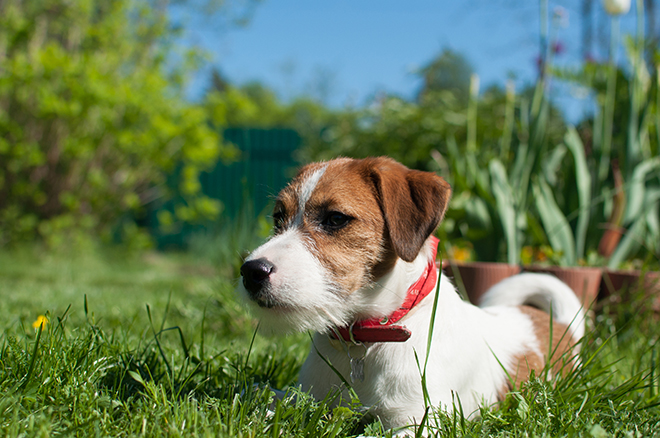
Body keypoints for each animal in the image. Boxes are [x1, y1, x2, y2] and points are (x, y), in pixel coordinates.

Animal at [237, 156, 584, 430]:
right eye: (278, 218)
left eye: (335, 219)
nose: (251, 272)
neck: (364, 340)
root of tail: (561, 324)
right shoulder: (305, 397)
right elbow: (266, 399)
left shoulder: (419, 420)